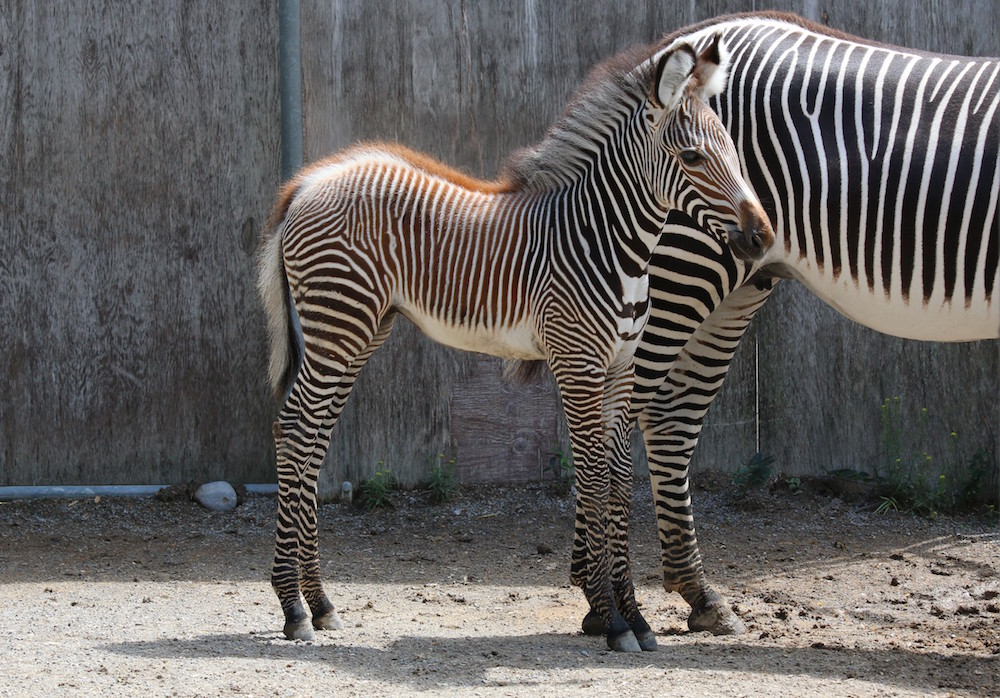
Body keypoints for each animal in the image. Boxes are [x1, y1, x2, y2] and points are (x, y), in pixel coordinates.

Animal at [258, 35, 772, 648]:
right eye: (692, 157)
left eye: (737, 155)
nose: (764, 238)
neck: (611, 243)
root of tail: (307, 181)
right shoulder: (578, 365)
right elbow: (593, 479)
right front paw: (611, 618)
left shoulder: (621, 371)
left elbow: (620, 481)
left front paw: (635, 617)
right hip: (337, 324)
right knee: (293, 432)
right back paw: (292, 606)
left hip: (359, 329)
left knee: (309, 438)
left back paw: (319, 602)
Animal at [584, 12, 996, 640]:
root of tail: (692, 35)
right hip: (686, 264)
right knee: (615, 422)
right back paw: (606, 604)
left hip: (742, 279)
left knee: (670, 416)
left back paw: (697, 593)